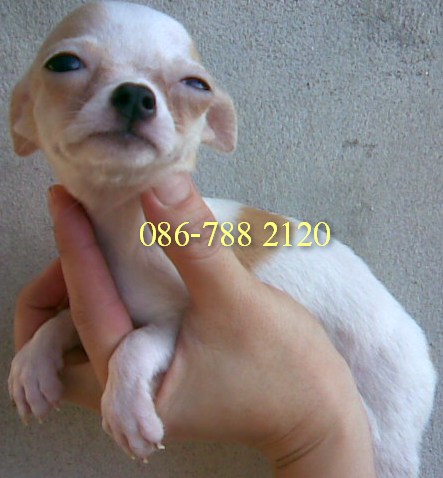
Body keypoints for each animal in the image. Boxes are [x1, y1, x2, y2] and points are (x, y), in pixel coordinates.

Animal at [8, 2, 436, 476]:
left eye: (196, 84)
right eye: (63, 64)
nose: (136, 94)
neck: (122, 222)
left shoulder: (179, 322)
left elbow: (132, 347)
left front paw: (124, 409)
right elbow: (61, 320)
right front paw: (32, 363)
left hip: (390, 430)